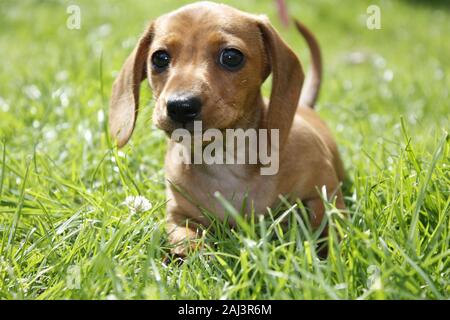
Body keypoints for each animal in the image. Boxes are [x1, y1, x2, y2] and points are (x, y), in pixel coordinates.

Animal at [109, 0, 344, 255]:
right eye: (159, 58)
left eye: (231, 56)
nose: (180, 106)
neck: (224, 158)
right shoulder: (179, 217)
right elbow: (187, 241)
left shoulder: (325, 191)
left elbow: (326, 223)